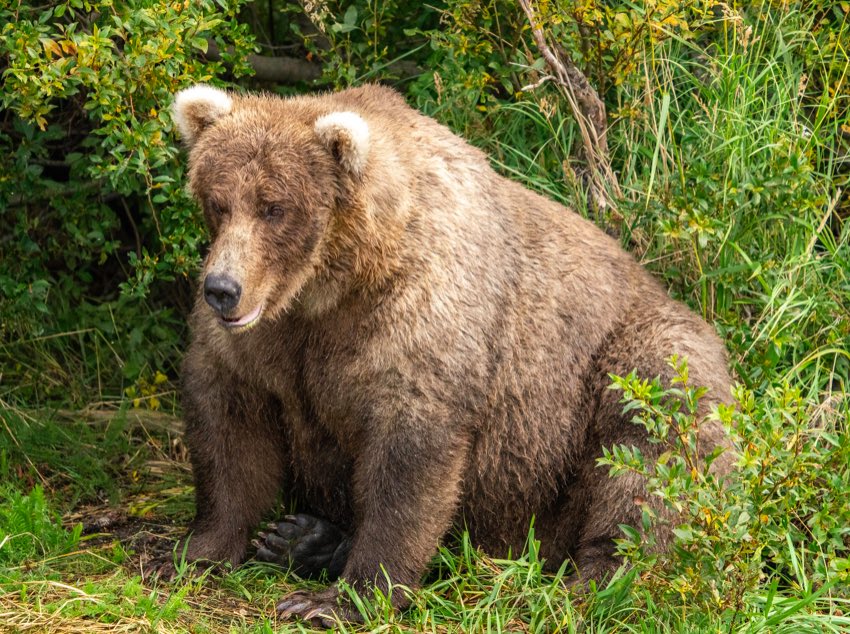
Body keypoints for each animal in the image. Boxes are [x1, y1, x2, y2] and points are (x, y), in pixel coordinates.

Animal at [168, 83, 734, 626]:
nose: (222, 289)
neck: (331, 287)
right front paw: (194, 553)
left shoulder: (418, 322)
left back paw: (595, 582)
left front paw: (337, 600)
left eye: (275, 207)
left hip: (626, 371)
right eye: (218, 201)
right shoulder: (267, 345)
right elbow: (229, 430)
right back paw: (304, 538)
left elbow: (409, 461)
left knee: (648, 458)